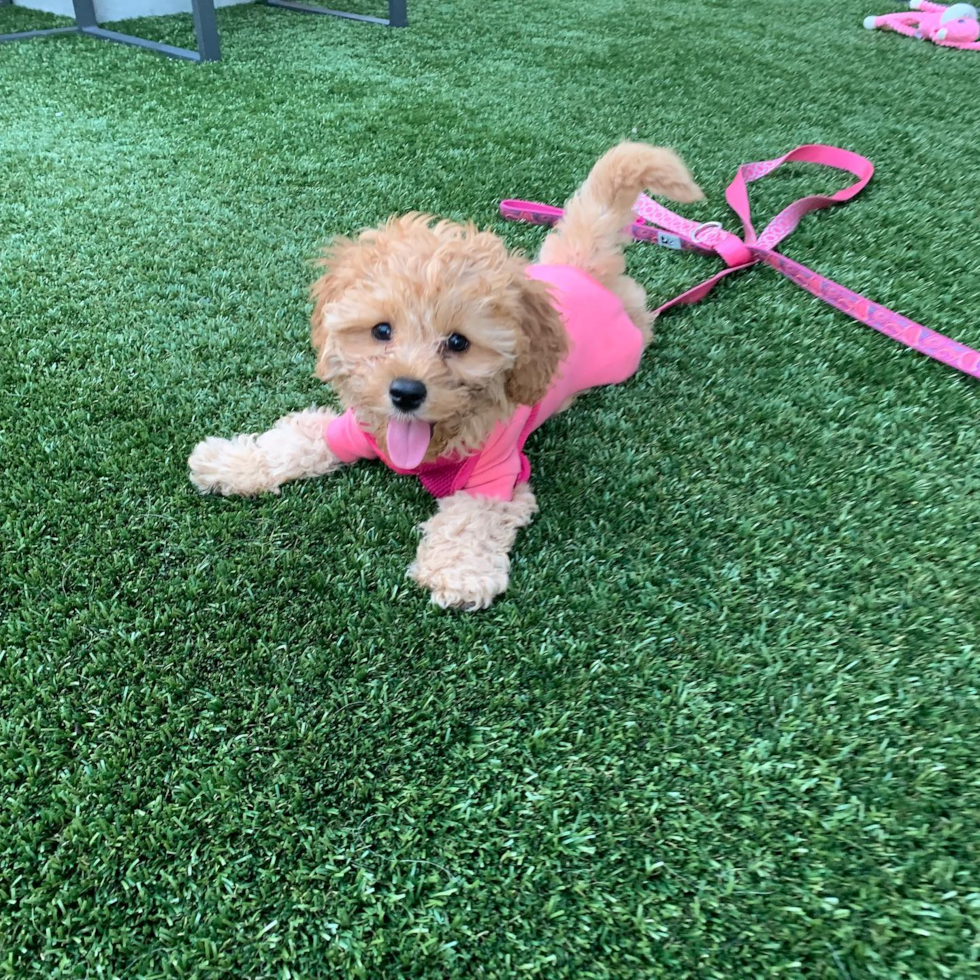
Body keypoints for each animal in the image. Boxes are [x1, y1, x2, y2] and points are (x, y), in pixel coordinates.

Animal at [186, 142, 704, 608]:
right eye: (381, 330)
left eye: (458, 342)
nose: (405, 392)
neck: (428, 446)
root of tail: (580, 271)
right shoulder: (347, 428)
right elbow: (293, 440)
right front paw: (230, 462)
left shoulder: (499, 475)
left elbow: (472, 517)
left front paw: (459, 569)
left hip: (625, 351)